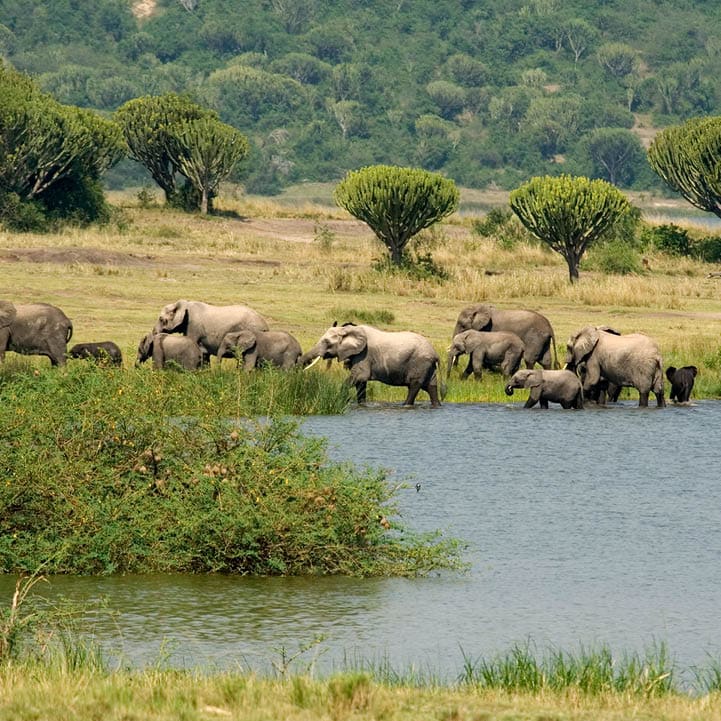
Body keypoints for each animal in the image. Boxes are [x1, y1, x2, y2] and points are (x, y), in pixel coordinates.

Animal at [300, 323, 441, 407]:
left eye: (327, 342)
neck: (349, 330)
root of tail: (435, 353)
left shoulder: (364, 355)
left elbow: (359, 377)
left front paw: (340, 401)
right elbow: (361, 384)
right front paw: (361, 405)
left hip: (420, 362)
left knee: (414, 385)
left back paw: (405, 405)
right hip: (427, 366)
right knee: (431, 387)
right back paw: (436, 406)